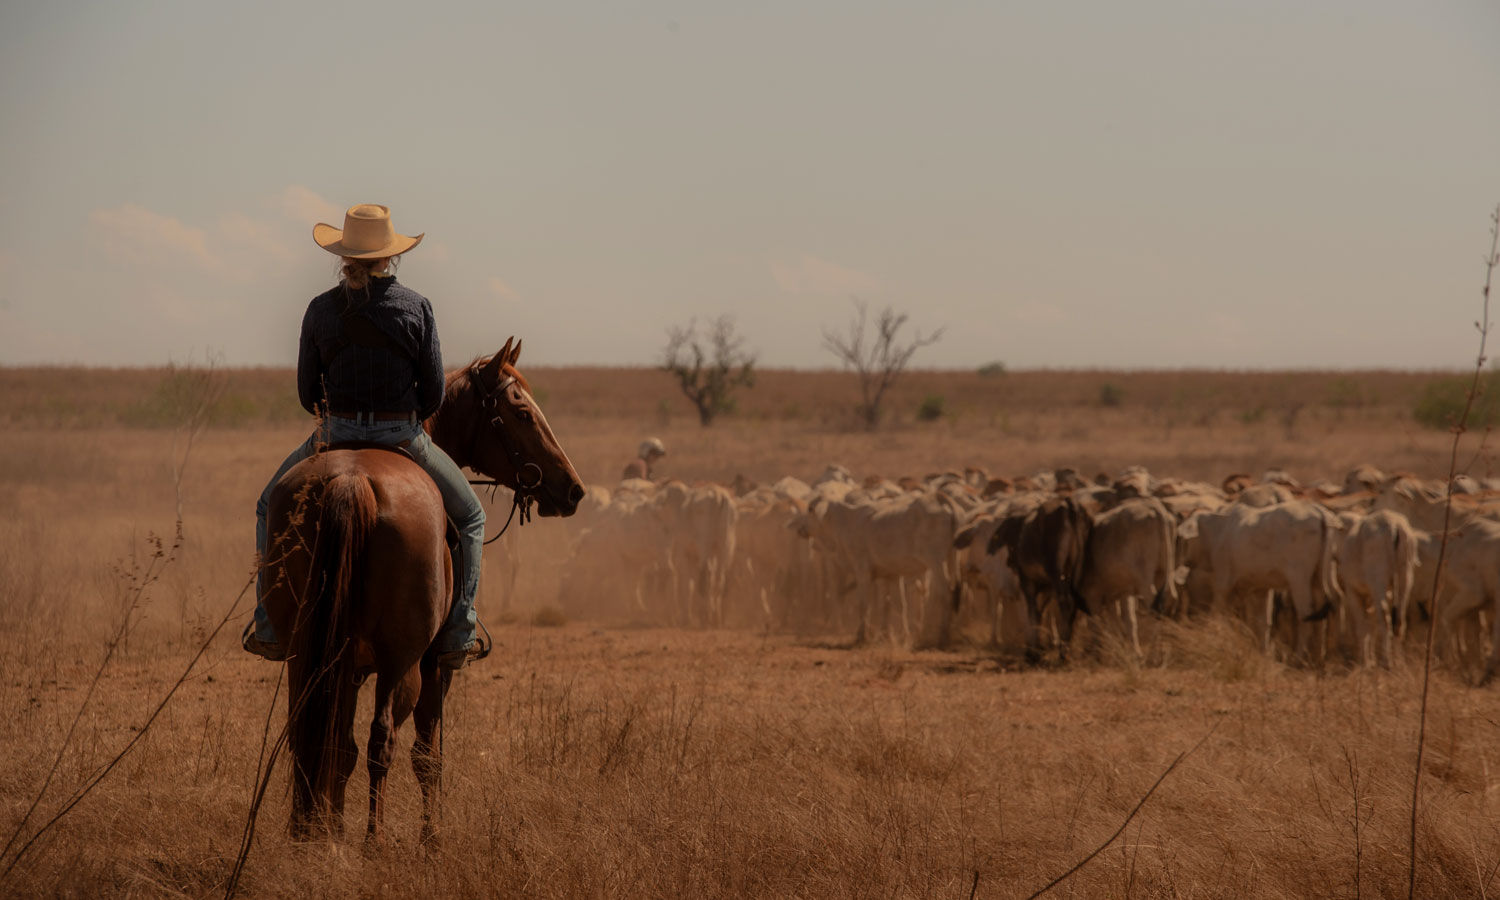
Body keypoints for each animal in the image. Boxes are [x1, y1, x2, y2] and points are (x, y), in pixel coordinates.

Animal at [264, 337, 579, 846]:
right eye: (522, 413)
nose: (572, 489)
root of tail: (351, 481)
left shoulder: (346, 665)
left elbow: (338, 746)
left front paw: (331, 829)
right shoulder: (435, 667)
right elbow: (427, 755)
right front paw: (431, 839)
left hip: (303, 651)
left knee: (310, 733)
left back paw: (308, 834)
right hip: (404, 662)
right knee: (384, 739)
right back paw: (372, 842)